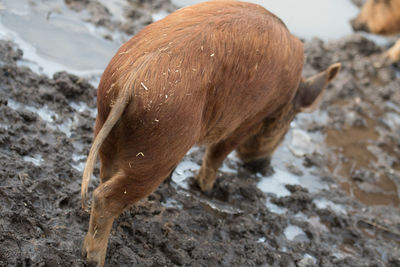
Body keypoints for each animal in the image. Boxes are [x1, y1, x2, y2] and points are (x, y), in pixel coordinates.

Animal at [80, 1, 340, 266]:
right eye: (286, 124)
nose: (262, 167)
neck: (288, 95)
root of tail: (132, 79)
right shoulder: (247, 121)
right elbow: (217, 154)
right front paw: (205, 189)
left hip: (106, 121)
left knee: (106, 174)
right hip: (157, 148)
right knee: (106, 197)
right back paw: (95, 259)